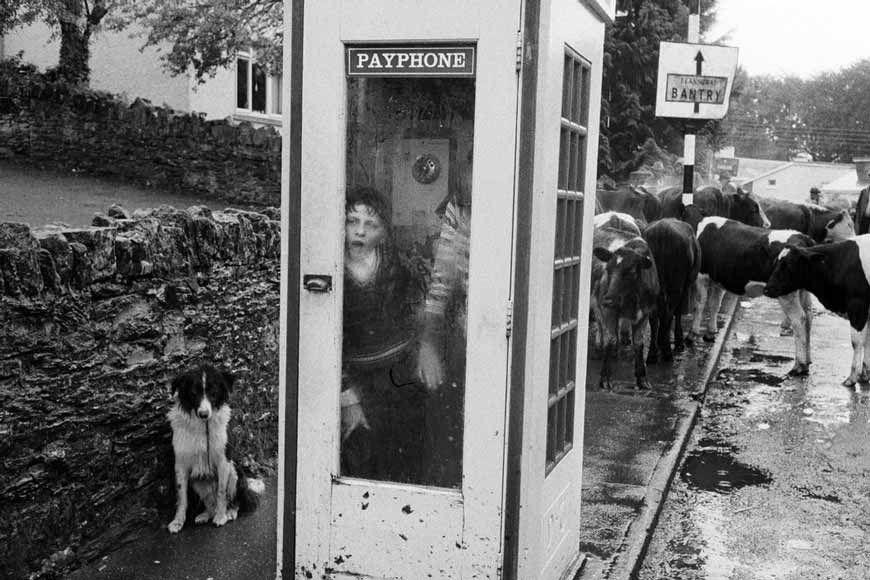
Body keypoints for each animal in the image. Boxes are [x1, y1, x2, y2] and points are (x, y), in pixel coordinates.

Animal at [168, 364, 266, 532]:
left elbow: (221, 491)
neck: (203, 426)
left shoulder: (223, 461)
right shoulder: (181, 464)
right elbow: (181, 496)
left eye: (213, 393)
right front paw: (178, 521)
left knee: (235, 501)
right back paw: (206, 514)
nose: (203, 414)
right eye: (193, 393)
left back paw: (229, 512)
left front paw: (221, 517)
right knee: (209, 502)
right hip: (198, 480)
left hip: (234, 471)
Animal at [592, 222, 660, 390]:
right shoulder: (609, 311)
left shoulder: (645, 314)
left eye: (631, 272)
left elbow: (639, 343)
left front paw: (642, 378)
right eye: (608, 269)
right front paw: (605, 379)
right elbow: (611, 340)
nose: (608, 300)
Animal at [644, 218, 704, 362]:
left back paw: (653, 353)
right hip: (677, 283)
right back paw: (667, 350)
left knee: (655, 316)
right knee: (669, 312)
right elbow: (677, 311)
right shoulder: (685, 284)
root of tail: (662, 231)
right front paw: (678, 340)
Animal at [692, 218, 820, 376]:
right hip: (802, 291)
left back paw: (799, 366)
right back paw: (807, 361)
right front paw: (710, 332)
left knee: (799, 319)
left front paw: (693, 333)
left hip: (785, 293)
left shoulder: (702, 276)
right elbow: (714, 304)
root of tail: (804, 237)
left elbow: (700, 303)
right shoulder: (717, 280)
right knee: (808, 316)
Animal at [768, 233, 870, 388]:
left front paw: (852, 378)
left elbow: (857, 342)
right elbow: (867, 340)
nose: (767, 288)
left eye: (787, 265)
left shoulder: (858, 305)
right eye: (776, 263)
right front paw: (865, 374)